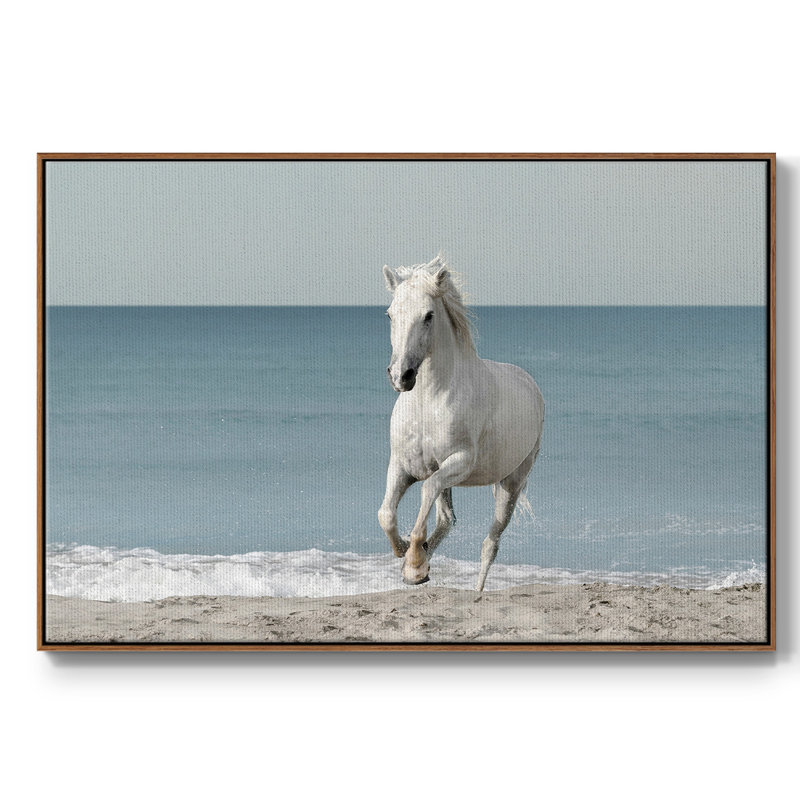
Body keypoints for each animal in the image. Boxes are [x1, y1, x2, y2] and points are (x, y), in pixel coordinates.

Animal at [378, 255, 545, 591]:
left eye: (428, 315)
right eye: (390, 314)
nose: (401, 376)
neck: (428, 404)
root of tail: (529, 382)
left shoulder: (460, 462)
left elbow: (426, 490)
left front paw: (413, 561)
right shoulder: (403, 464)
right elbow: (386, 513)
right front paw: (406, 556)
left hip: (511, 484)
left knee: (490, 543)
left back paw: (475, 591)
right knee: (447, 519)